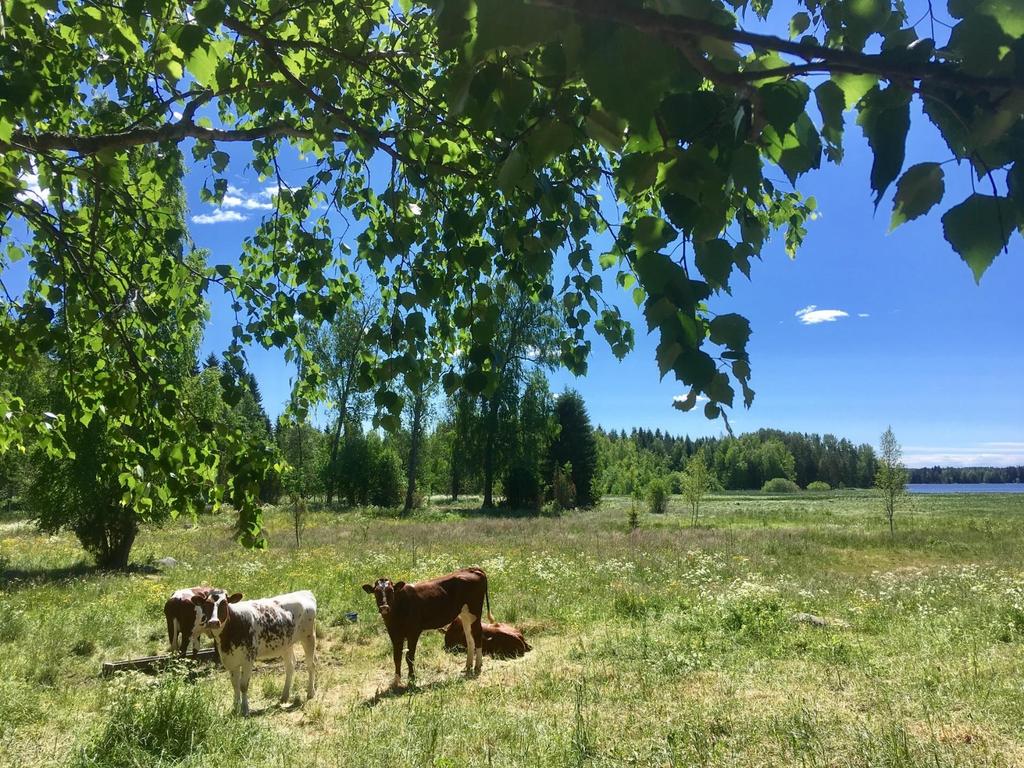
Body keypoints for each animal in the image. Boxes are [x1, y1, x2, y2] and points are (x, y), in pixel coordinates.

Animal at [362, 565, 493, 692]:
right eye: (376, 592)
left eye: (391, 591)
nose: (384, 607)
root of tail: (472, 569)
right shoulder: (394, 633)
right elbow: (397, 658)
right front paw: (396, 682)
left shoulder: (413, 632)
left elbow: (409, 657)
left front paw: (411, 679)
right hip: (465, 613)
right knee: (469, 637)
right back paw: (468, 665)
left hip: (475, 611)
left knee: (477, 634)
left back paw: (477, 666)